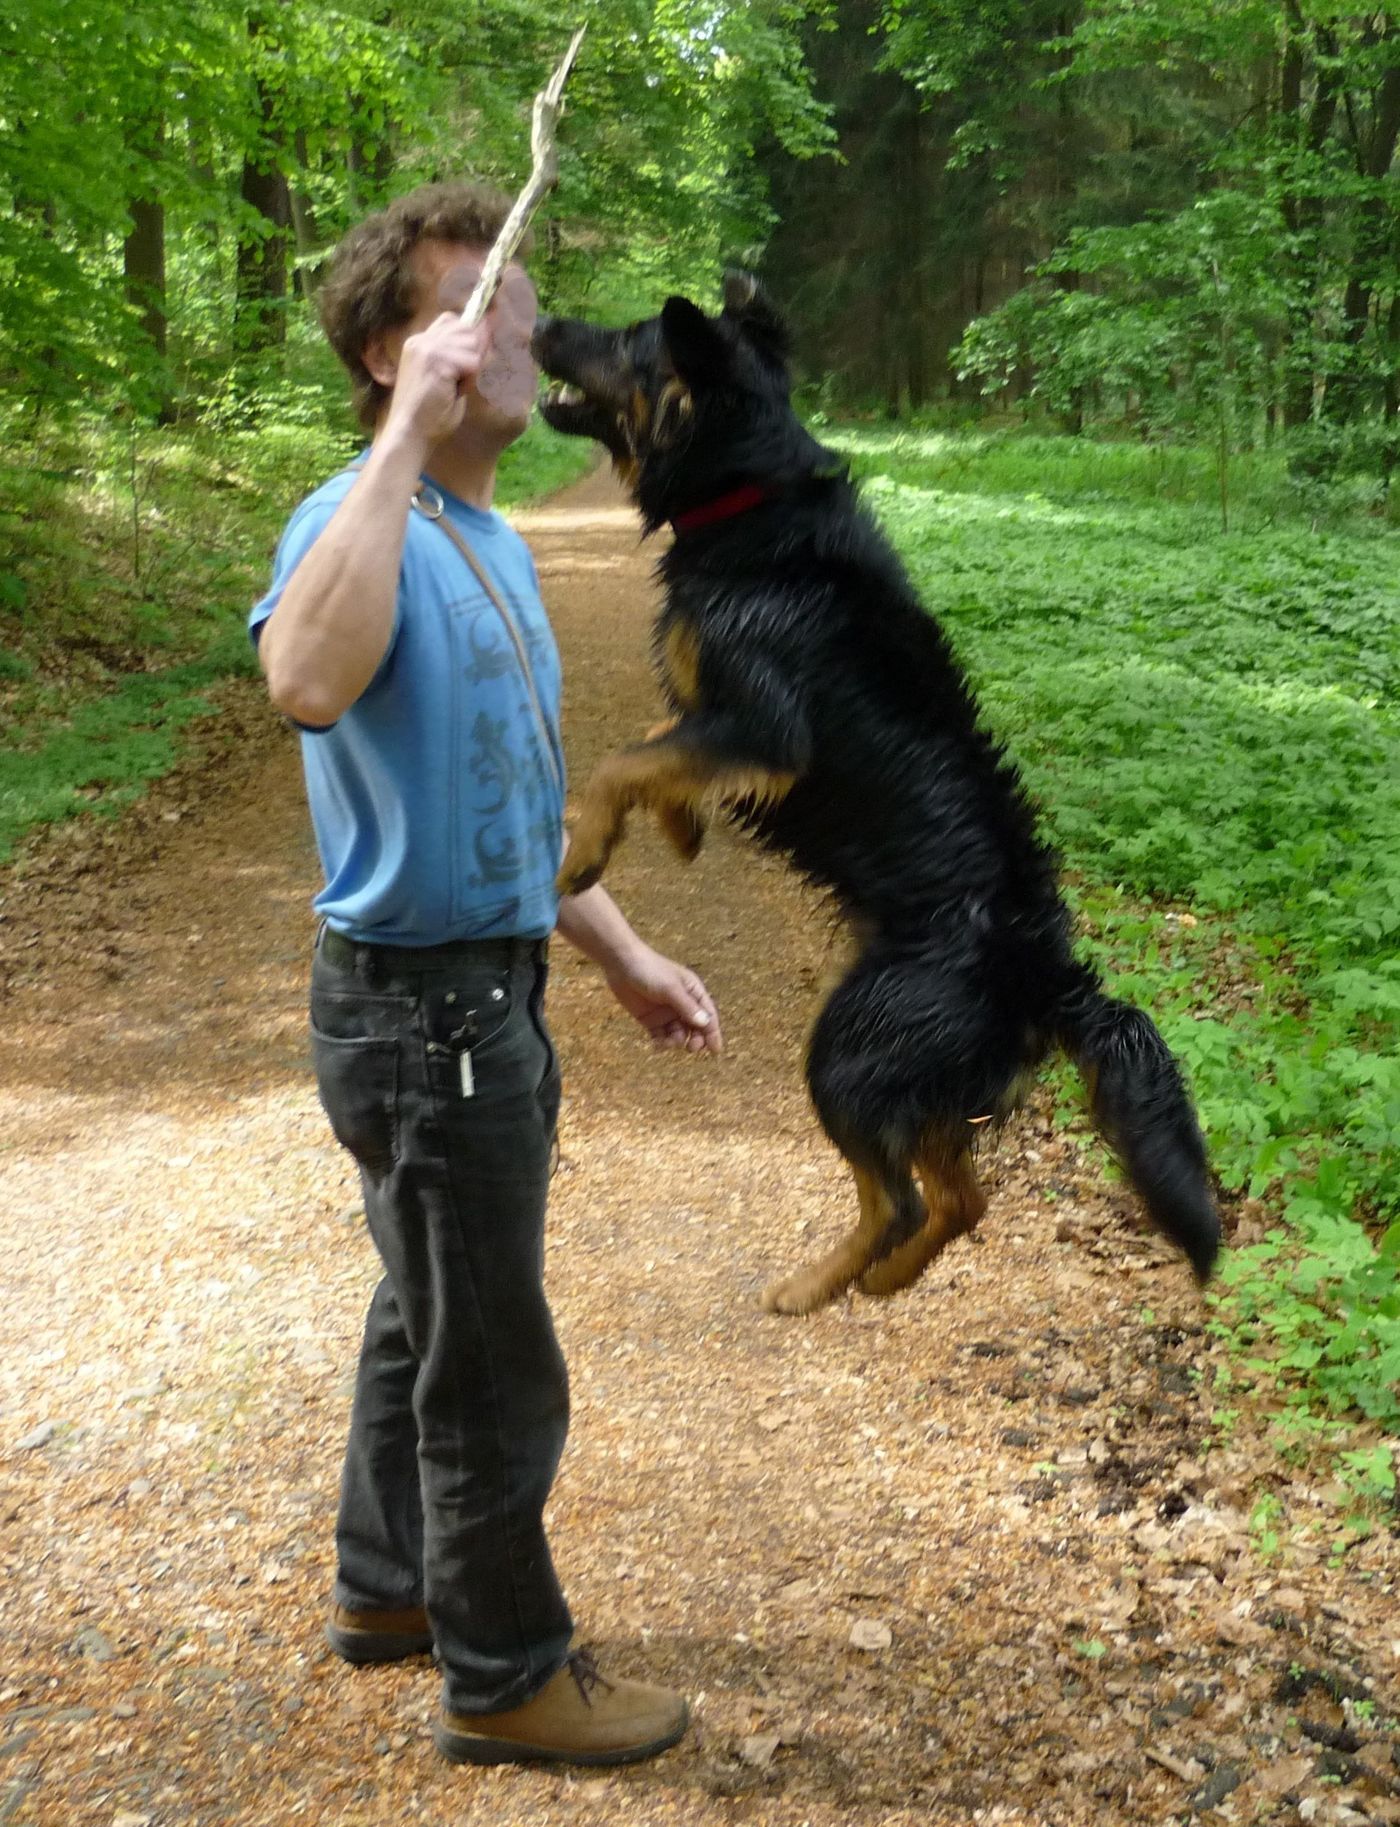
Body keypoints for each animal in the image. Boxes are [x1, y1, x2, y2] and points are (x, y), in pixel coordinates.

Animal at [533, 274, 1220, 1315]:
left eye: (625, 340)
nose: (534, 320)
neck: (752, 495)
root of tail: (1045, 967)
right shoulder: (719, 719)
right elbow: (658, 739)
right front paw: (682, 824)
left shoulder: (768, 725)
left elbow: (623, 757)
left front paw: (585, 852)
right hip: (909, 1065)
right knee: (962, 1198)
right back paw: (887, 1278)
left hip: (847, 1051)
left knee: (901, 1197)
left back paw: (818, 1283)